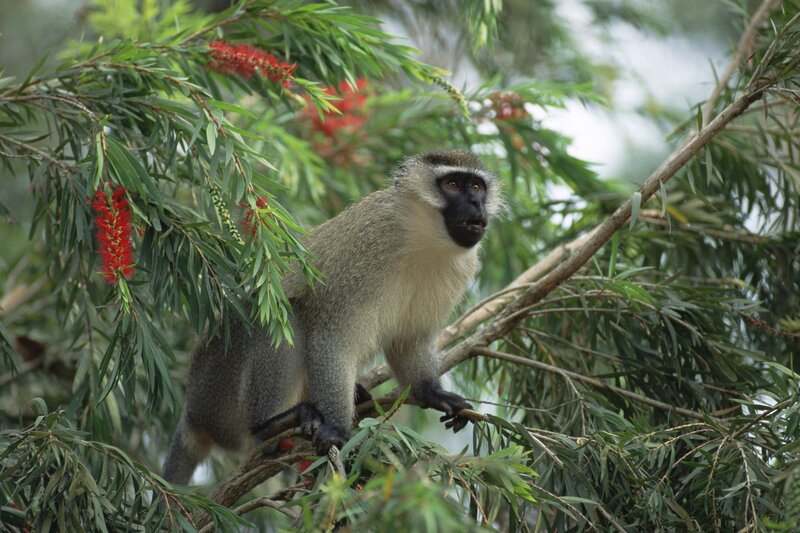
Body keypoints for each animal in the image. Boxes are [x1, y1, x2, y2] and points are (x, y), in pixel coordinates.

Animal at [162, 151, 502, 484]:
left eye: (476, 187)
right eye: (453, 184)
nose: (475, 203)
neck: (423, 239)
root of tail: (193, 412)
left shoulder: (461, 269)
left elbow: (409, 341)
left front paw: (432, 392)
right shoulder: (364, 252)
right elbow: (333, 341)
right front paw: (337, 429)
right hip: (221, 395)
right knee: (285, 316)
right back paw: (270, 427)